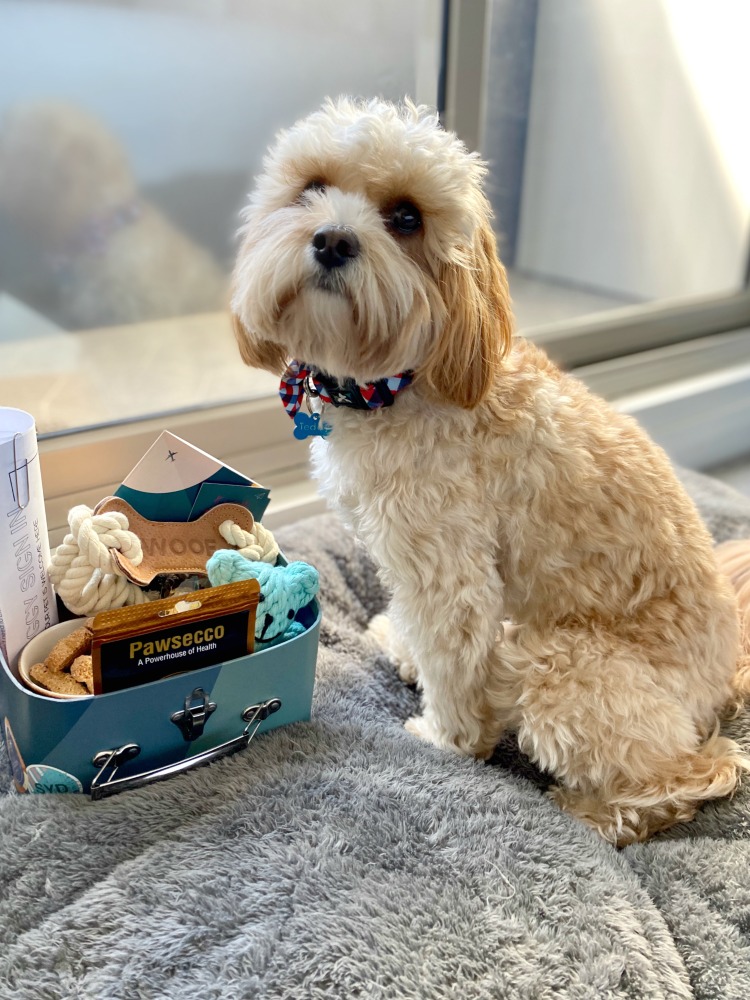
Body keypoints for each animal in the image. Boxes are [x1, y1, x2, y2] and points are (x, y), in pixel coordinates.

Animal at [232, 97, 748, 844]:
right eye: (310, 188)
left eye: (407, 217)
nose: (331, 240)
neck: (400, 382)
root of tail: (725, 679)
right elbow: (422, 632)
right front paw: (400, 644)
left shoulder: (447, 563)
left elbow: (452, 652)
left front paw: (445, 741)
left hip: (565, 668)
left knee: (700, 772)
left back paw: (597, 812)